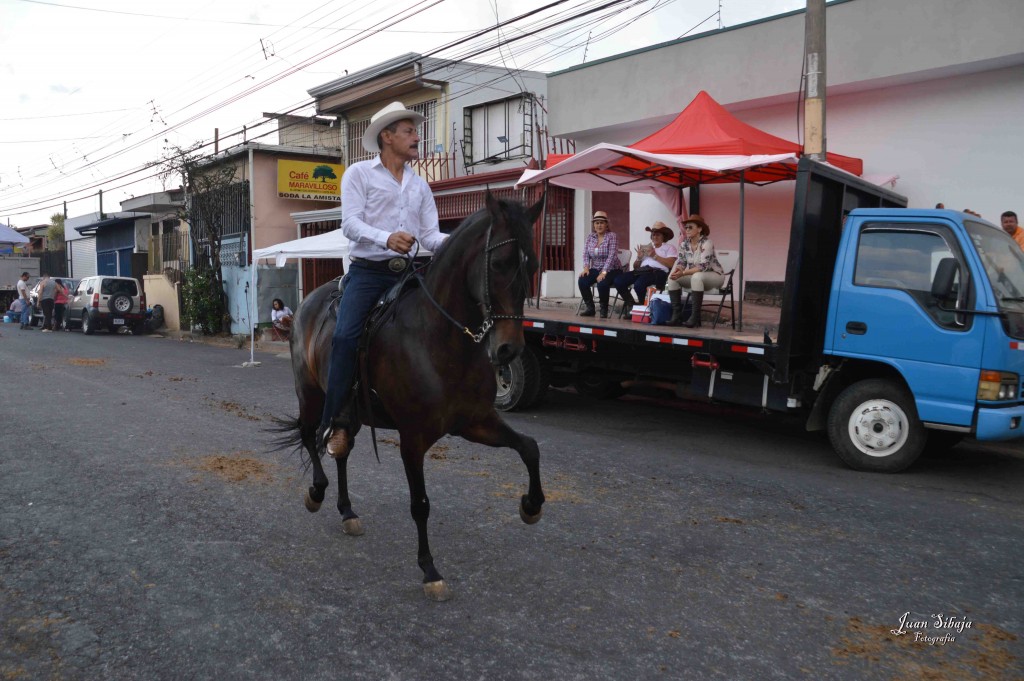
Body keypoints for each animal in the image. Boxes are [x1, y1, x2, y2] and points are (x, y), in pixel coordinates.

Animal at [276, 192, 548, 602]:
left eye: (532, 263)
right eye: (499, 263)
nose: (508, 350)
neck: (437, 339)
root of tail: (309, 302)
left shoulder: (476, 422)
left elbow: (529, 447)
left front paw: (531, 505)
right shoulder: (413, 438)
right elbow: (420, 504)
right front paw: (429, 570)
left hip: (352, 412)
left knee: (341, 450)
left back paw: (347, 511)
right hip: (310, 394)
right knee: (311, 436)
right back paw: (317, 493)